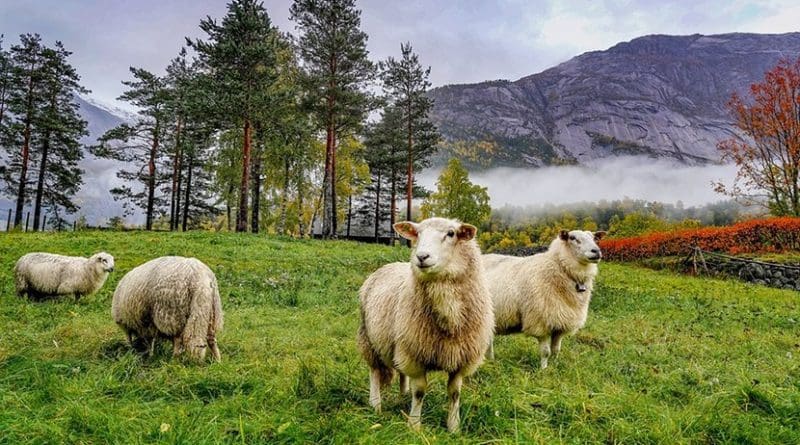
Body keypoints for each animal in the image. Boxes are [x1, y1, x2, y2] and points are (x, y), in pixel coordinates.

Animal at [358, 217, 494, 432]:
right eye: (418, 233)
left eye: (451, 233)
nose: (421, 257)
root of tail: (387, 266)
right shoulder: (415, 356)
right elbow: (420, 391)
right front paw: (414, 425)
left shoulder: (461, 358)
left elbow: (454, 393)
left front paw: (454, 427)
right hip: (369, 339)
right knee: (375, 372)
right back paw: (375, 404)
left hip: (400, 342)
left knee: (400, 372)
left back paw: (402, 394)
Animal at [482, 229, 608, 368]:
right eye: (572, 238)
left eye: (595, 238)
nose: (596, 251)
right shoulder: (541, 322)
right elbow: (546, 352)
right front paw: (544, 369)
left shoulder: (560, 323)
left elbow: (556, 350)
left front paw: (556, 366)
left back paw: (491, 360)